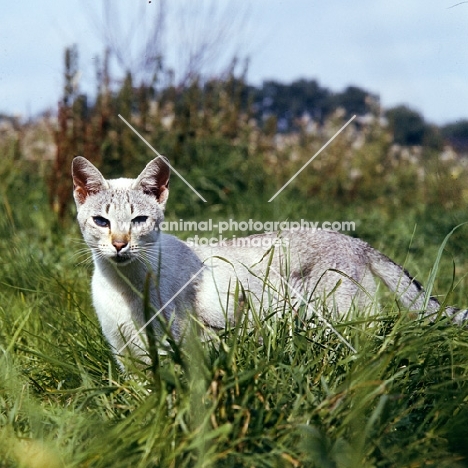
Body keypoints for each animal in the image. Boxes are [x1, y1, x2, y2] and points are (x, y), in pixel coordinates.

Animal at [71, 157, 466, 370]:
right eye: (102, 222)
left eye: (138, 221)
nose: (119, 244)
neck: (124, 284)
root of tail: (354, 240)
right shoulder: (126, 354)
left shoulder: (181, 346)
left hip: (337, 322)